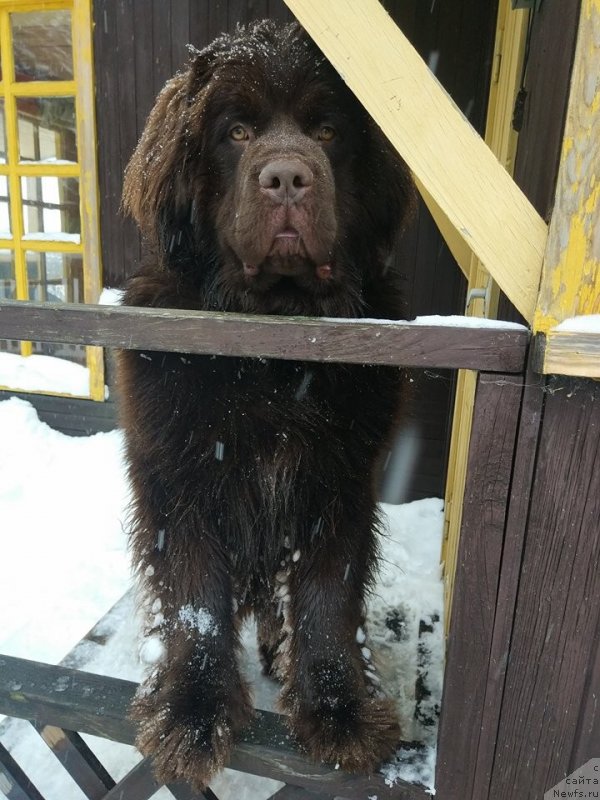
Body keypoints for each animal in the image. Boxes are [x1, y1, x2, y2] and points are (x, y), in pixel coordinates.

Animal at [118, 18, 418, 788]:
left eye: (328, 130)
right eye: (238, 131)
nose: (287, 176)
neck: (274, 346)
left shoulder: (339, 481)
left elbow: (326, 595)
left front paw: (339, 708)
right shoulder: (181, 478)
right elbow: (194, 597)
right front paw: (192, 711)